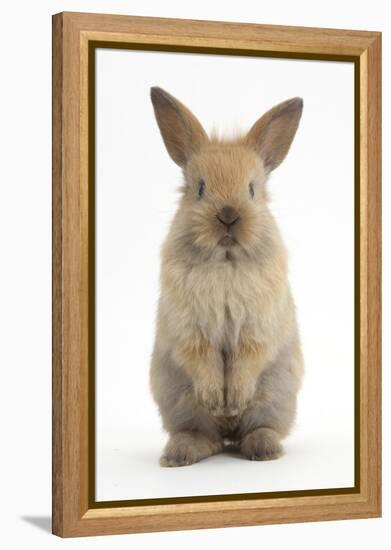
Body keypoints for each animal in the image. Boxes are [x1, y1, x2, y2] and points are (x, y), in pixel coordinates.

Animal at [149, 88, 304, 468]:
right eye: (200, 188)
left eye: (252, 189)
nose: (229, 215)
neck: (225, 261)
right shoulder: (190, 331)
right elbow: (202, 358)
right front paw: (216, 398)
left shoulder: (257, 329)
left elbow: (247, 358)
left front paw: (232, 399)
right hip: (179, 401)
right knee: (207, 436)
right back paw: (181, 453)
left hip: (274, 396)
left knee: (256, 429)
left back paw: (262, 448)